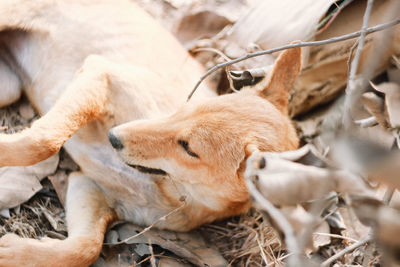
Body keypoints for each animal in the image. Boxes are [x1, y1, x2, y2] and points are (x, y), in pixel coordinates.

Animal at [0, 1, 300, 266]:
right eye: (186, 108)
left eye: (188, 148)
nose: (113, 137)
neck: (169, 186)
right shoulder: (102, 71)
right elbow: (45, 140)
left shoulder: (89, 187)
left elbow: (85, 248)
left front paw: (16, 253)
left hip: (9, 88)